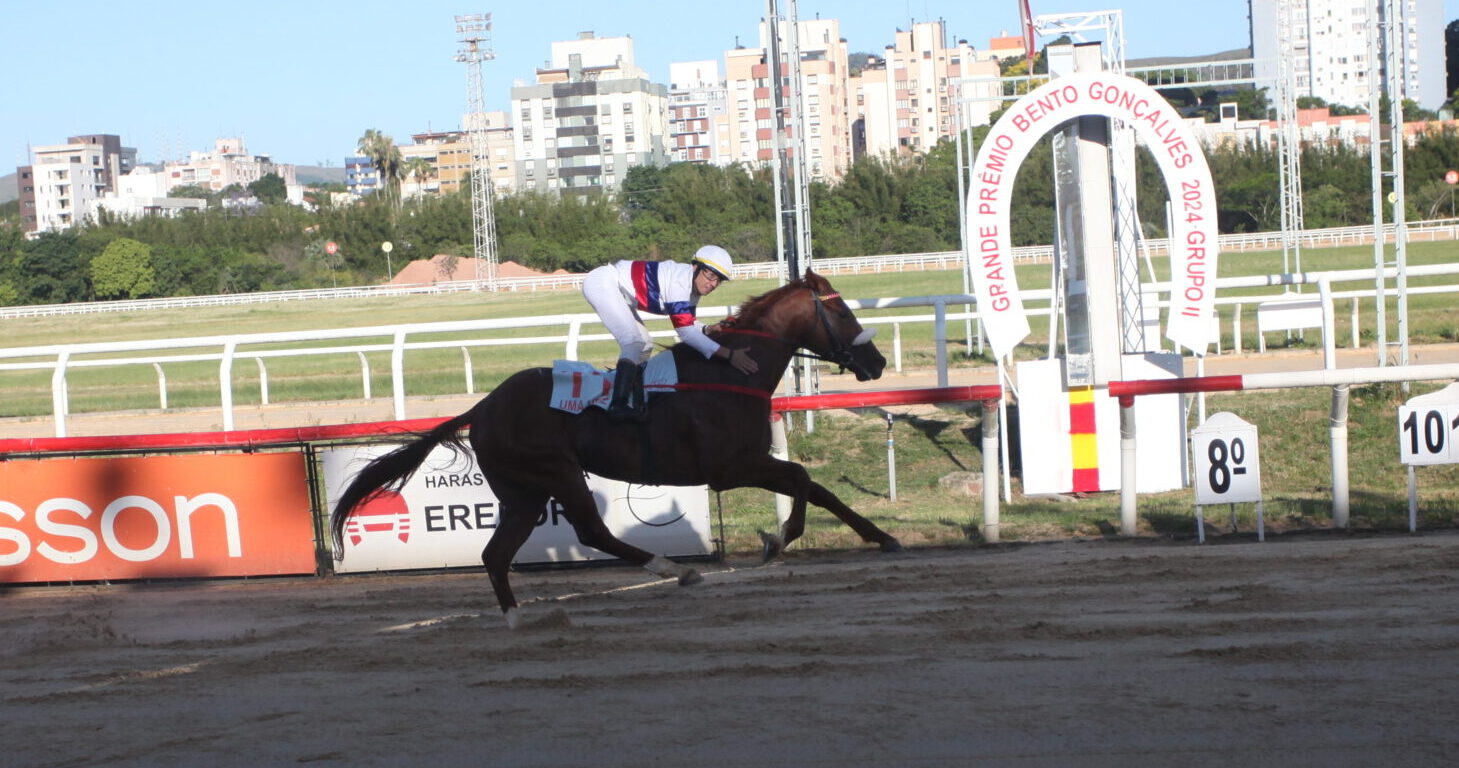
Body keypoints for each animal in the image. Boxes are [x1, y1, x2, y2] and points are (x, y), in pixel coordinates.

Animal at [334, 274, 898, 630]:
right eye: (842, 311)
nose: (877, 362)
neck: (731, 374)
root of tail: (484, 405)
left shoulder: (748, 462)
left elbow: (819, 488)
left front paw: (883, 537)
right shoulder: (729, 467)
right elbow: (801, 478)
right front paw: (777, 541)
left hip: (523, 493)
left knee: (497, 553)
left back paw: (518, 619)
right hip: (557, 473)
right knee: (590, 531)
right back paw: (675, 569)